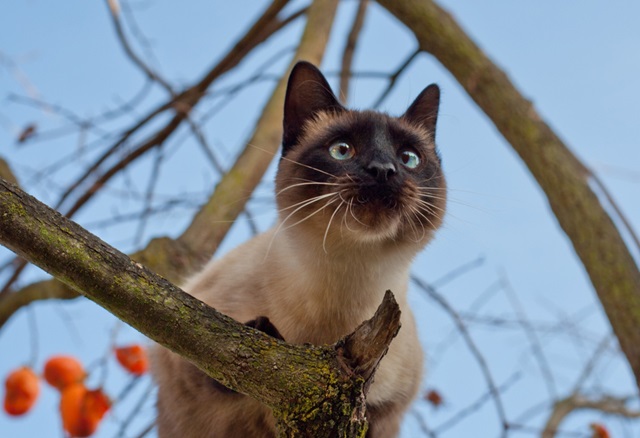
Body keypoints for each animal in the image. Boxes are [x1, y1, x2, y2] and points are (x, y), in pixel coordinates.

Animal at [152, 60, 448, 436]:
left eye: (409, 158)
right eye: (342, 150)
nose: (383, 170)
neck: (346, 281)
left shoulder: (387, 411)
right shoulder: (182, 339)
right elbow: (223, 367)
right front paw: (261, 333)